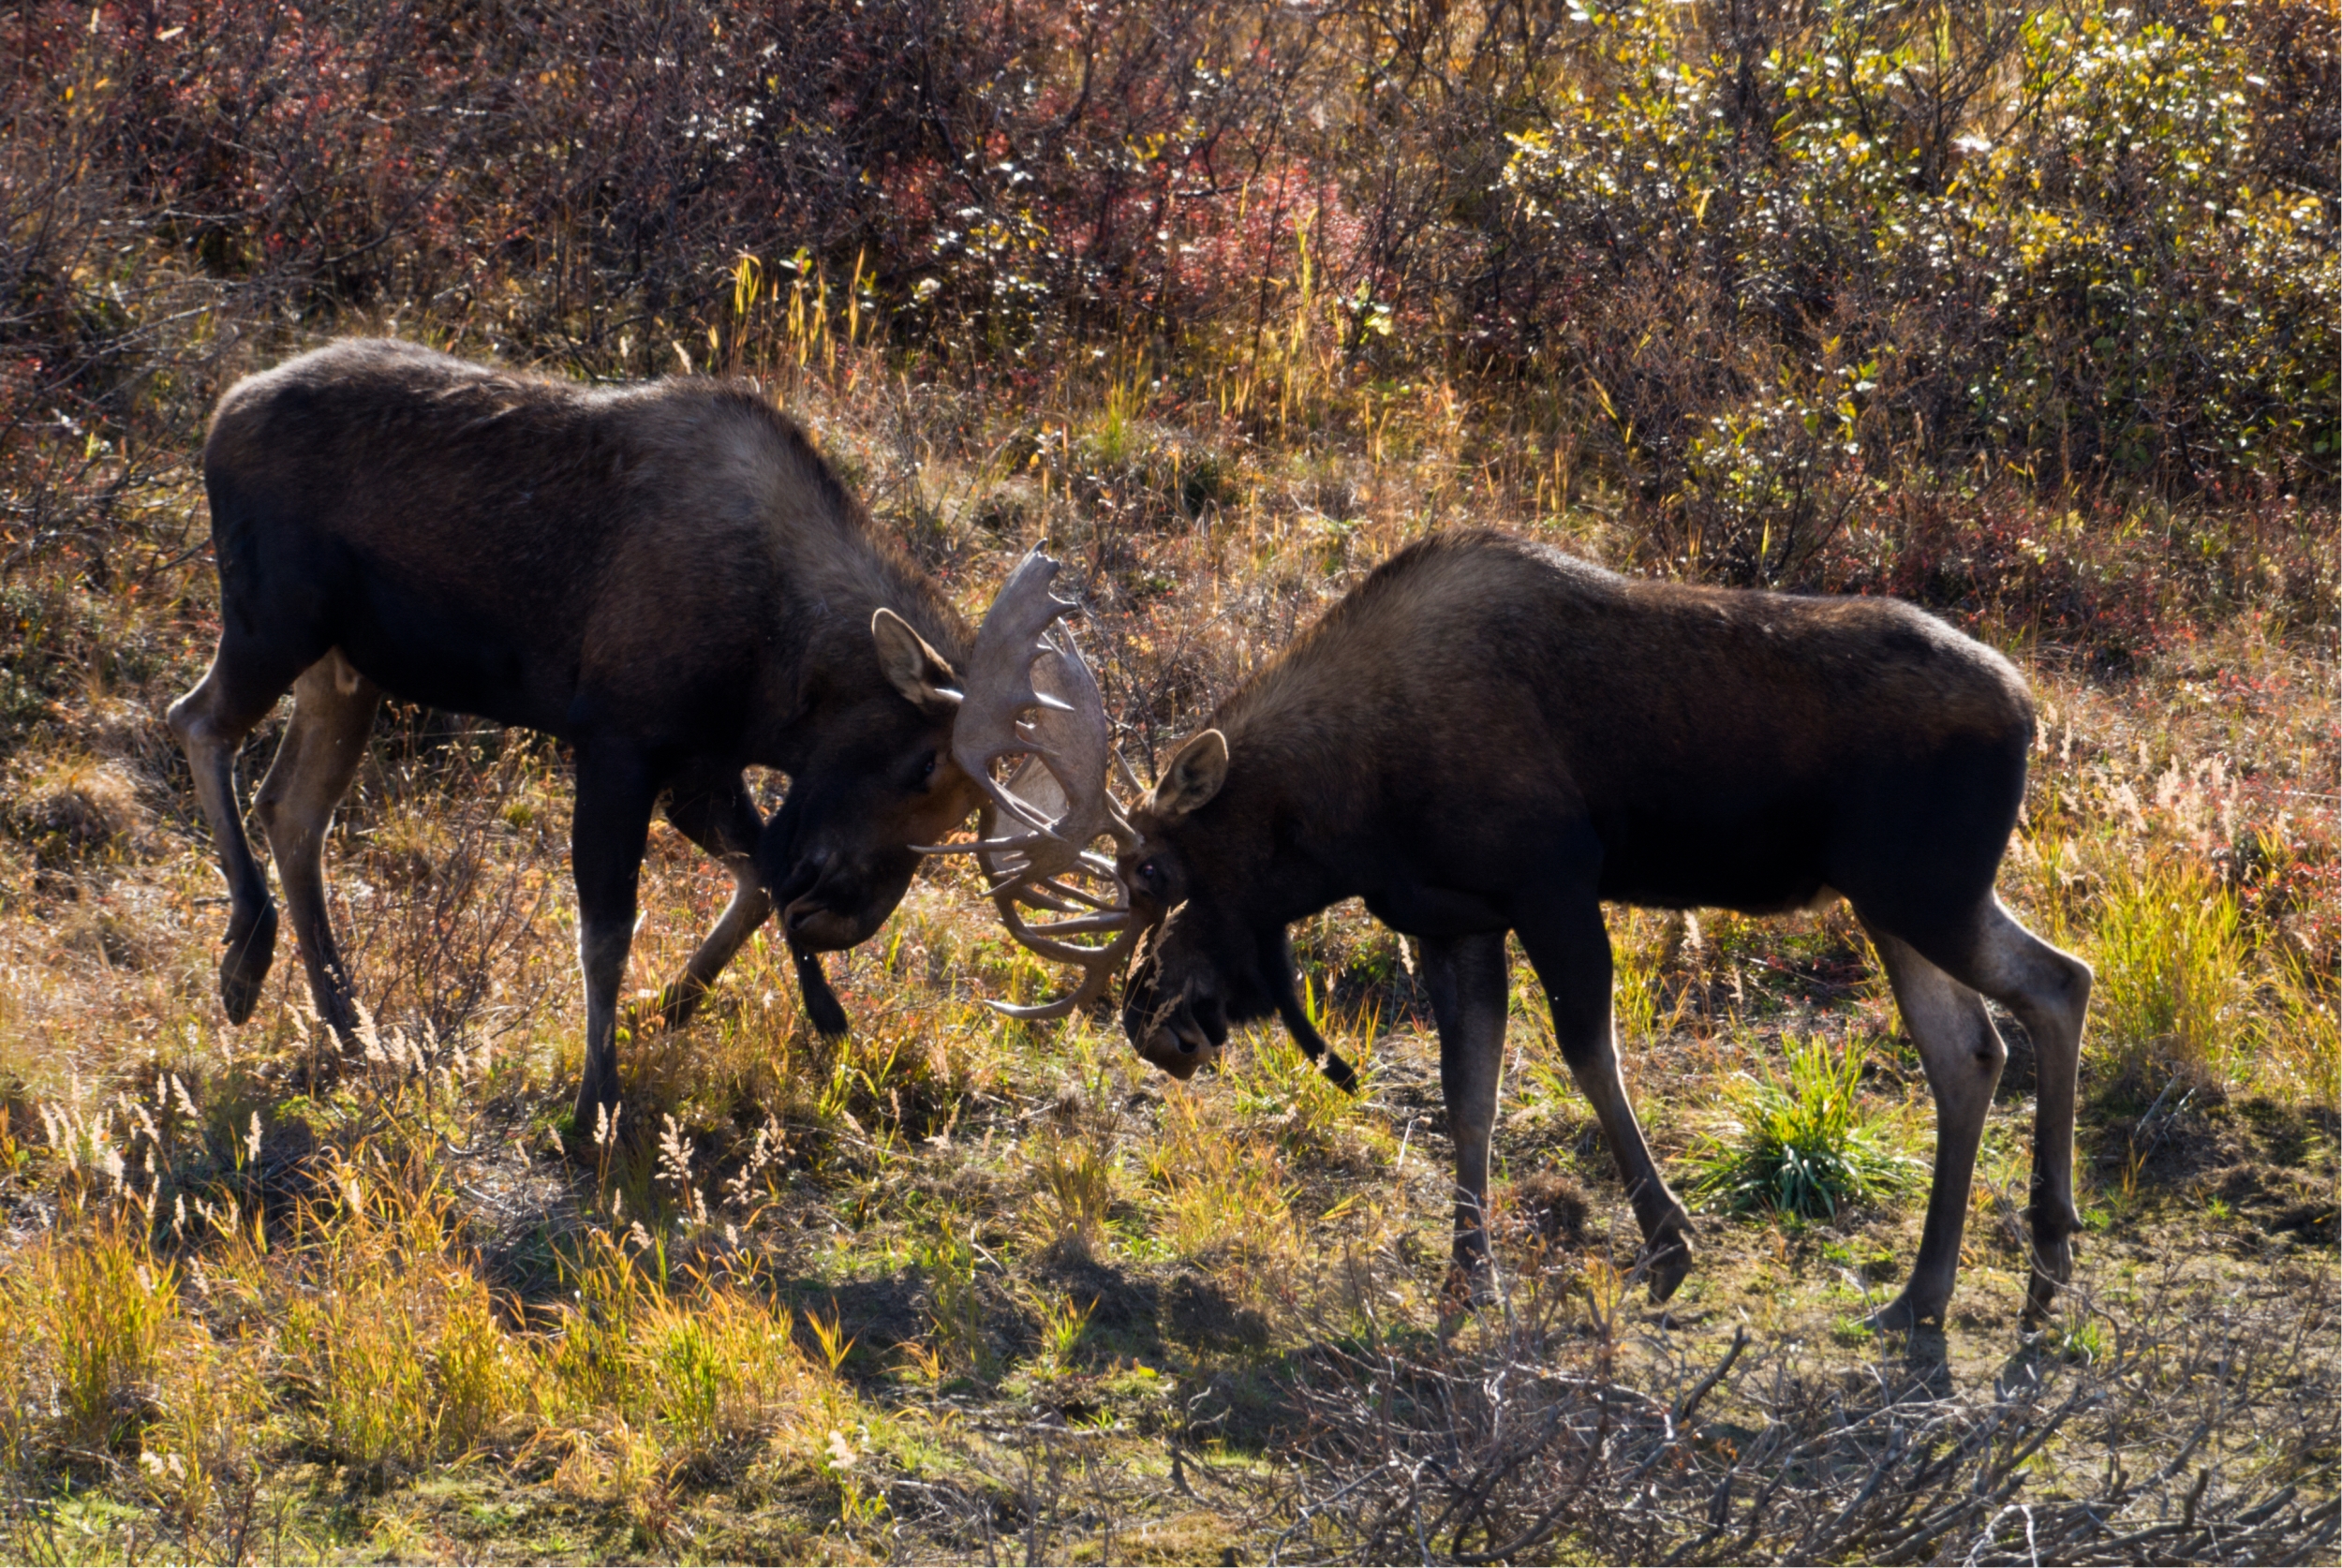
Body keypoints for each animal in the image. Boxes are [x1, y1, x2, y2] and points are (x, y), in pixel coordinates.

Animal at [167, 344, 1124, 1132]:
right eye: (923, 765)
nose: (846, 921)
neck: (778, 677)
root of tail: (221, 413)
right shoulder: (619, 743)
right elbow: (609, 929)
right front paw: (598, 1104)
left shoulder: (702, 766)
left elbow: (755, 879)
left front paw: (687, 1007)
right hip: (273, 619)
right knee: (197, 722)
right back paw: (245, 956)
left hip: (347, 669)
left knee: (293, 808)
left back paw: (347, 1021)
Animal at [1063, 533, 2089, 1329]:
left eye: (1151, 871)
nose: (1145, 1016)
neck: (1343, 813)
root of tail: (2029, 708)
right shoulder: (1455, 924)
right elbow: (1467, 1097)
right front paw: (1468, 1280)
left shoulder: (1553, 883)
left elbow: (1589, 1054)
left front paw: (1668, 1244)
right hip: (1895, 906)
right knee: (1970, 1052)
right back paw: (1927, 1294)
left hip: (1926, 893)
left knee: (2058, 982)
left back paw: (2047, 1259)